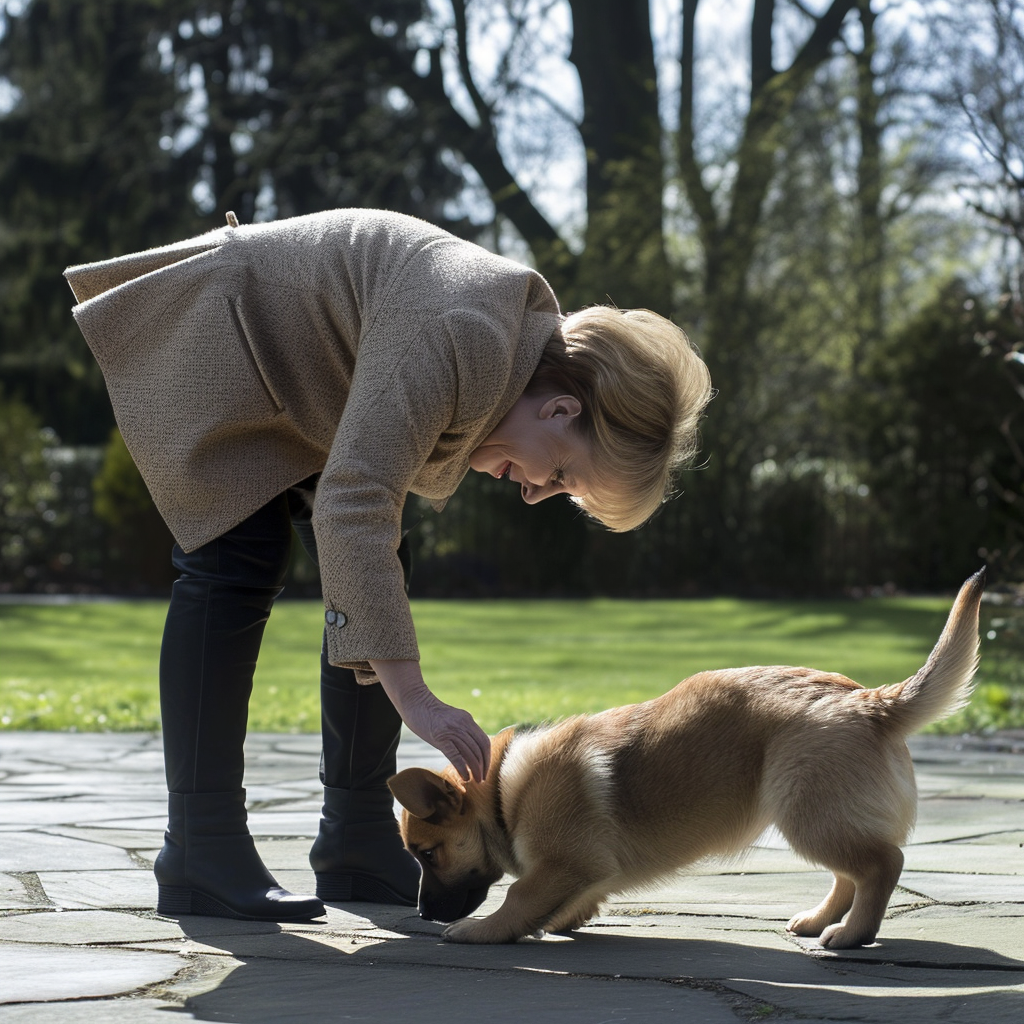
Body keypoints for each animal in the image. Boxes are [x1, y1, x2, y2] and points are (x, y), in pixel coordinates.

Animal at [389, 565, 983, 946]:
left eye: (427, 853)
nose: (419, 913)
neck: (503, 791)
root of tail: (872, 700)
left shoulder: (561, 862)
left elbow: (516, 898)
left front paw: (481, 931)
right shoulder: (583, 869)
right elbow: (570, 897)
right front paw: (565, 917)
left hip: (806, 813)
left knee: (883, 864)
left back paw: (854, 934)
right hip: (818, 815)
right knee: (850, 873)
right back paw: (820, 921)